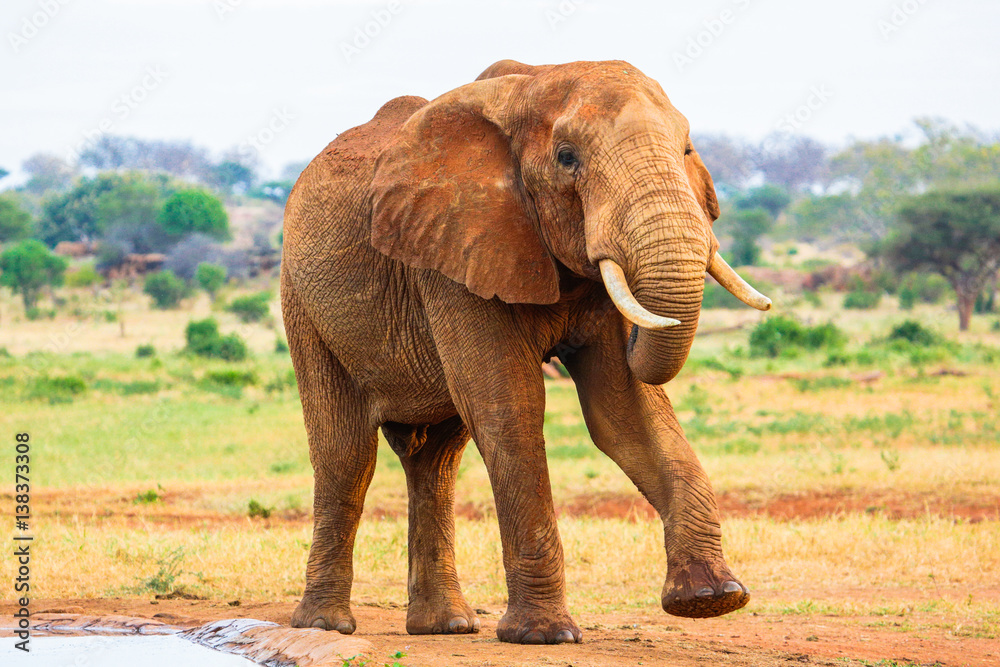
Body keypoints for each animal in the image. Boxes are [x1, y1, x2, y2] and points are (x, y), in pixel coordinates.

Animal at [280, 59, 771, 645]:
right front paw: (544, 635)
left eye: (689, 148)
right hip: (302, 302)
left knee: (437, 461)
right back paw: (326, 626)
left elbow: (623, 413)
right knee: (347, 455)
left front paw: (712, 600)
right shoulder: (455, 255)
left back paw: (445, 627)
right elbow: (508, 408)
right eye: (567, 158)